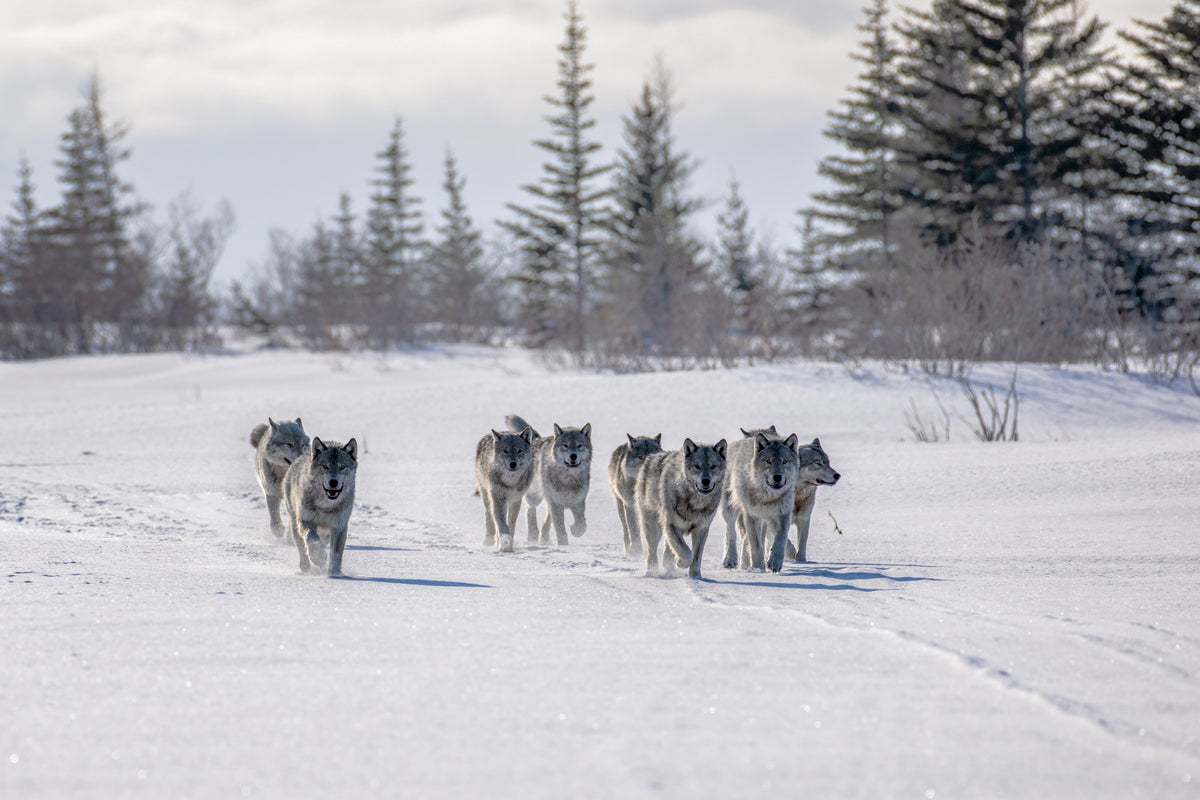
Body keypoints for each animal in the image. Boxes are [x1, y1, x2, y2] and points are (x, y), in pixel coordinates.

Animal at [282, 437, 358, 576]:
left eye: (342, 467)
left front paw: (334, 573)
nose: (333, 482)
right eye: (325, 466)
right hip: (295, 524)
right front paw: (318, 557)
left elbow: (336, 554)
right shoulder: (306, 521)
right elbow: (311, 539)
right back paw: (306, 567)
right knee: (302, 547)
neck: (325, 506)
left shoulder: (339, 527)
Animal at [475, 424, 535, 553]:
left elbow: (510, 523)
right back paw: (489, 541)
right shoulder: (498, 498)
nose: (513, 464)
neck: (510, 481)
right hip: (486, 495)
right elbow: (501, 523)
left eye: (519, 451)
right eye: (506, 451)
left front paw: (508, 544)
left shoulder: (515, 500)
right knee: (489, 516)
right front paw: (505, 545)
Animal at [507, 415, 592, 546]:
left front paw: (575, 531)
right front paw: (563, 544)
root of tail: (535, 441)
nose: (573, 456)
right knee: (530, 510)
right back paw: (533, 535)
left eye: (579, 445)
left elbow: (581, 523)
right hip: (536, 498)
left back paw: (544, 538)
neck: (568, 479)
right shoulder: (556, 502)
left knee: (546, 520)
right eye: (565, 445)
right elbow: (560, 526)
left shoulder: (578, 500)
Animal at [634, 438, 727, 578]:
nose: (706, 481)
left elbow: (696, 557)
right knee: (652, 553)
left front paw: (696, 578)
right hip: (653, 528)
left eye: (713, 466)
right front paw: (681, 563)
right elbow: (687, 553)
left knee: (667, 551)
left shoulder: (701, 529)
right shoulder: (671, 525)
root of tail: (651, 457)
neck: (695, 503)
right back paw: (652, 573)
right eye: (697, 466)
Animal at [720, 429, 801, 573]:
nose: (777, 477)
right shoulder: (752, 516)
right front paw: (758, 569)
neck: (768, 497)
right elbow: (756, 545)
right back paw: (730, 560)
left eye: (785, 461)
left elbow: (780, 539)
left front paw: (774, 563)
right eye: (768, 461)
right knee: (731, 532)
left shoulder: (782, 514)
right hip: (730, 509)